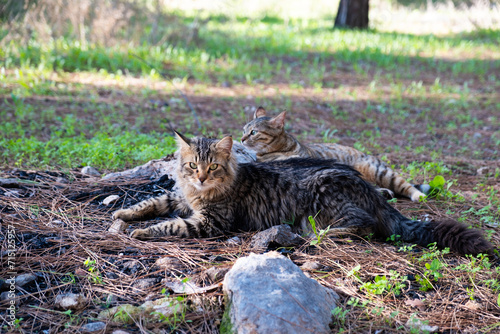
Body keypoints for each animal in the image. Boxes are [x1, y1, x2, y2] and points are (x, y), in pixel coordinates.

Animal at [111, 133, 490, 256]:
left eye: (213, 167)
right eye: (192, 166)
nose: (202, 177)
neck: (199, 194)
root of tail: (372, 192)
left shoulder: (210, 222)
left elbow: (171, 225)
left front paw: (142, 232)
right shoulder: (180, 199)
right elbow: (153, 202)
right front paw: (125, 215)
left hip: (325, 194)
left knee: (365, 226)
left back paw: (323, 236)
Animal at [242, 107, 430, 201]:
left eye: (253, 132)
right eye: (244, 130)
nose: (242, 138)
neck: (284, 149)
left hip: (381, 172)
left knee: (406, 186)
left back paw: (418, 195)